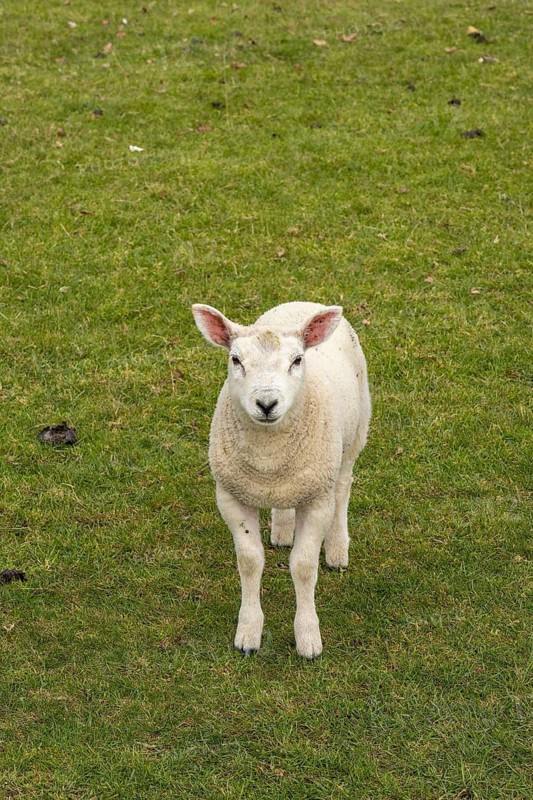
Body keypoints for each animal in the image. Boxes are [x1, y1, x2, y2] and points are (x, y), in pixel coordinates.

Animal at [192, 301, 371, 659]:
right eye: (236, 359)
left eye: (297, 360)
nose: (266, 403)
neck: (268, 458)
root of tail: (303, 303)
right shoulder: (231, 497)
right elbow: (249, 562)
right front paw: (248, 632)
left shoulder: (317, 500)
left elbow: (303, 566)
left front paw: (308, 638)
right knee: (286, 502)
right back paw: (283, 530)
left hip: (353, 437)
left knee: (343, 487)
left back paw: (337, 550)